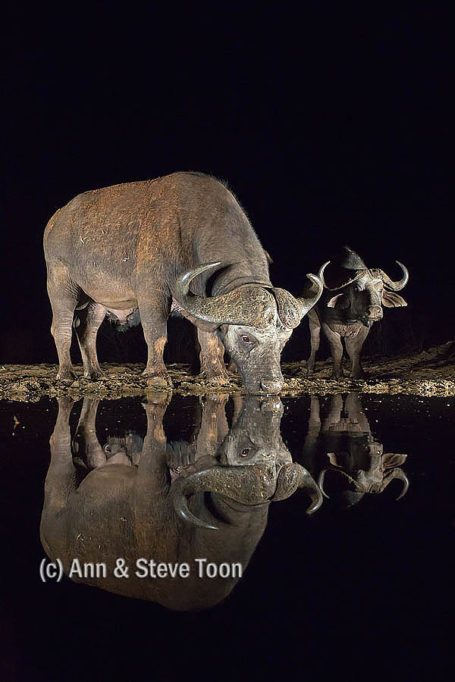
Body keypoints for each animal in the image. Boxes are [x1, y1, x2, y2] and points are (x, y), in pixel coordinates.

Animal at [43, 172, 324, 393]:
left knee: (87, 331)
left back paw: (95, 373)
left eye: (284, 341)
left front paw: (216, 375)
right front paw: (157, 376)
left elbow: (210, 341)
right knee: (62, 328)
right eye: (246, 338)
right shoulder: (152, 293)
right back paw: (66, 374)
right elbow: (156, 334)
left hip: (97, 300)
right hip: (60, 284)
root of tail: (56, 220)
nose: (272, 385)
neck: (189, 233)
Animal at [306, 246, 409, 379]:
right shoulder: (327, 325)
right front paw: (337, 374)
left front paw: (358, 373)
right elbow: (337, 348)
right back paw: (310, 368)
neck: (348, 318)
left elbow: (354, 348)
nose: (374, 311)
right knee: (314, 342)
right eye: (356, 289)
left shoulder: (365, 327)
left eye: (381, 289)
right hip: (312, 318)